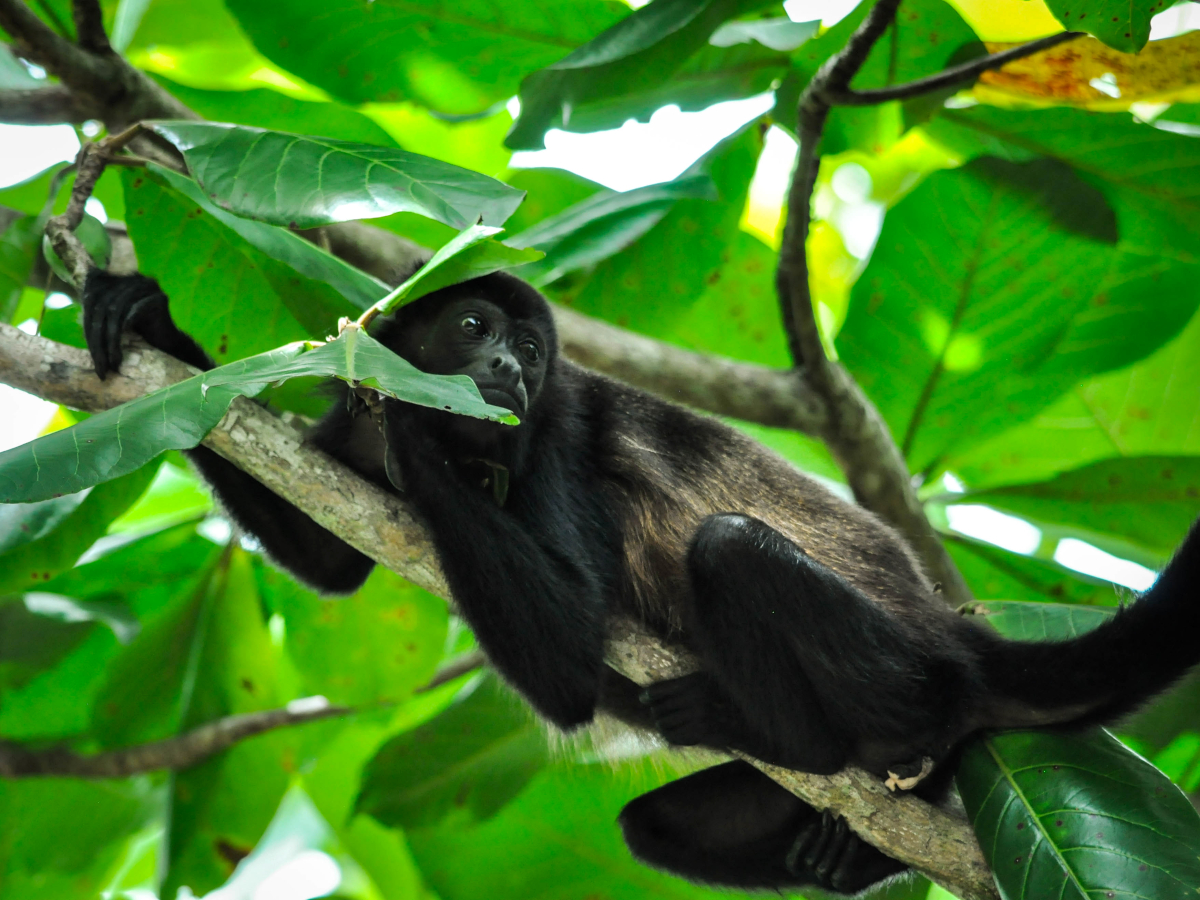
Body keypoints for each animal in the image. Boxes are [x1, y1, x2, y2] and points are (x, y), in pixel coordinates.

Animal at [88, 266, 1200, 897]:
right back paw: (852, 857)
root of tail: (953, 624)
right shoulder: (347, 435)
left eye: (532, 352)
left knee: (734, 550)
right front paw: (145, 319)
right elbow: (329, 559)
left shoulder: (555, 444)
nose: (510, 372)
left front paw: (432, 439)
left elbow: (574, 655)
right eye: (475, 328)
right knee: (657, 827)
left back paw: (800, 728)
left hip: (909, 662)